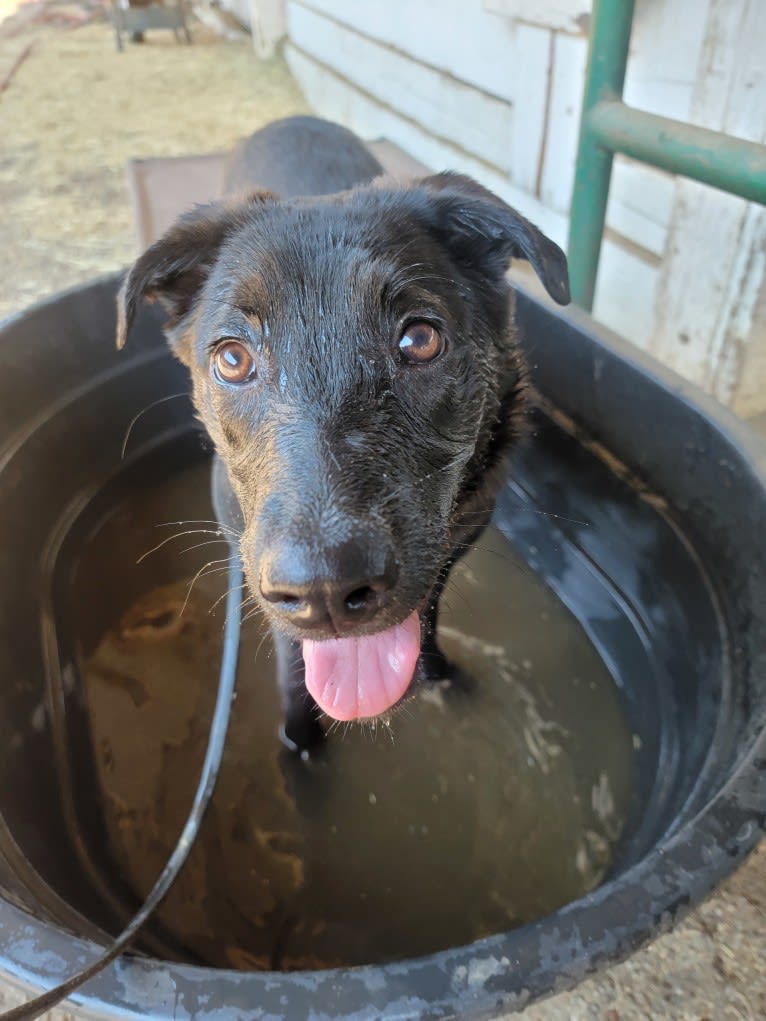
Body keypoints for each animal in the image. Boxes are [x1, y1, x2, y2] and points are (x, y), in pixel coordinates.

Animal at [116, 115, 567, 751]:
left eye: (419, 340)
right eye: (232, 359)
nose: (325, 591)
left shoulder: (455, 546)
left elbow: (430, 610)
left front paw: (438, 672)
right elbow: (292, 656)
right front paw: (299, 738)